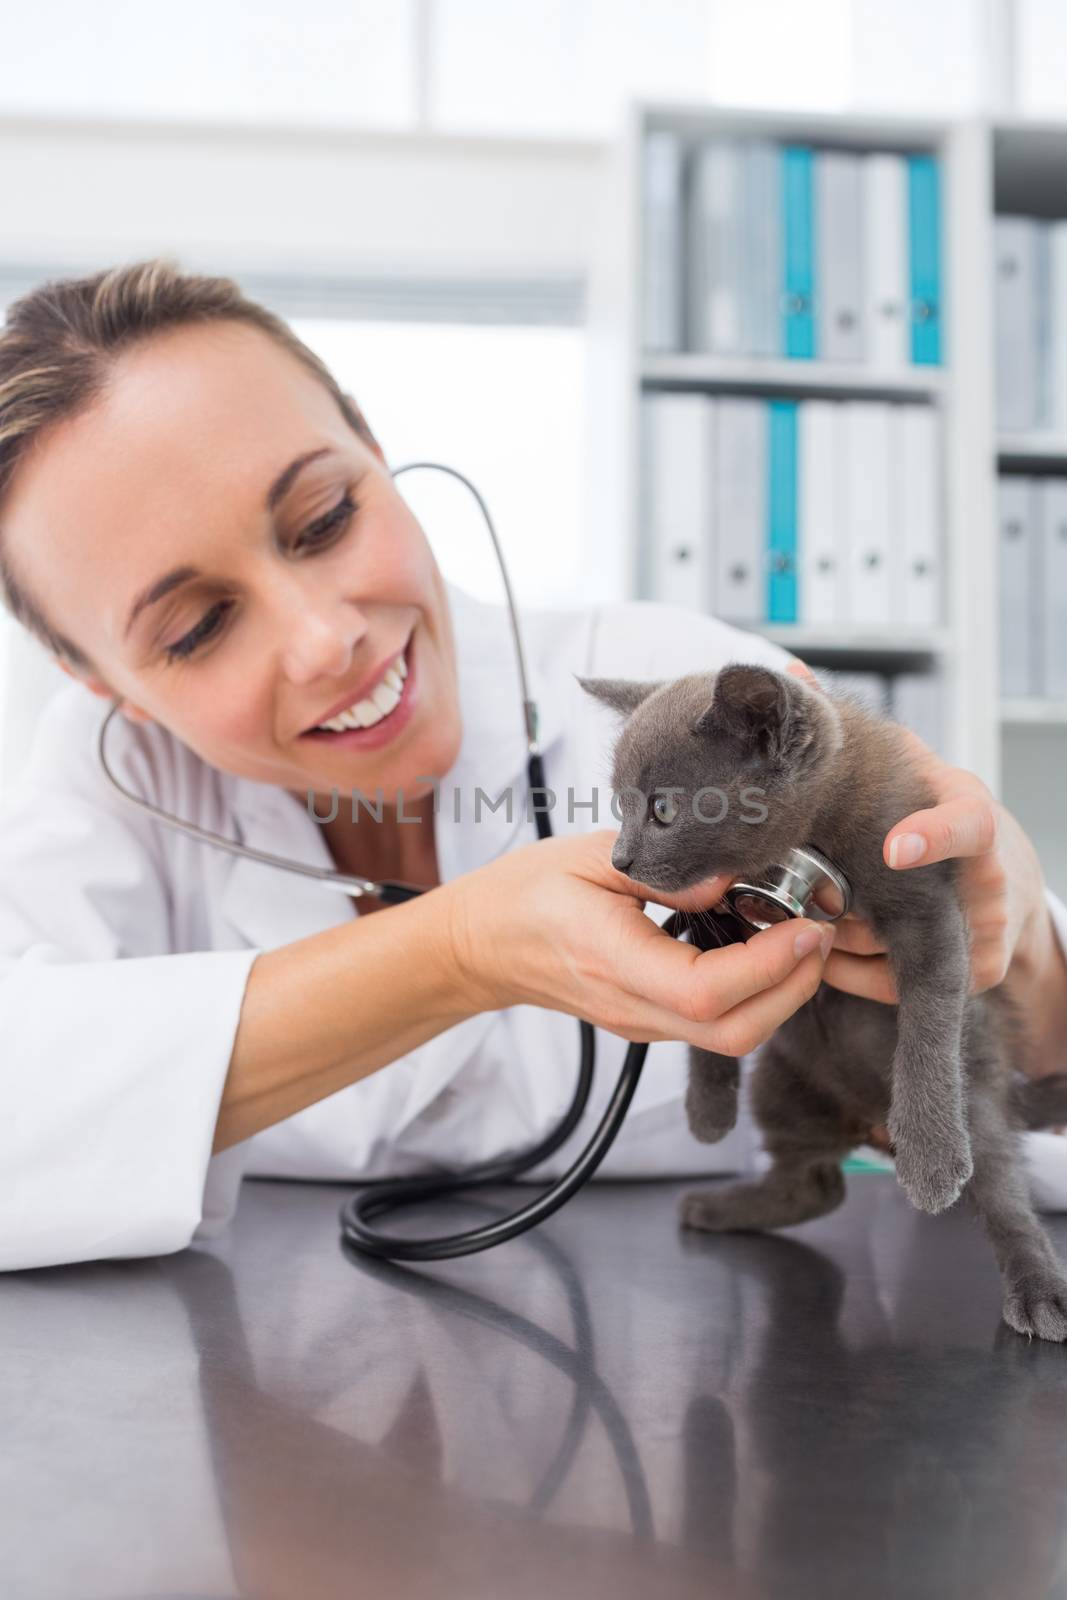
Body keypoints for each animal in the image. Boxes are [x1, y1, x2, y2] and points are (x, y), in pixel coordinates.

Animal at [579, 659, 1067, 1337]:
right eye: (619, 803)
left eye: (662, 810)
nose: (620, 859)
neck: (816, 831)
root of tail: (866, 1126)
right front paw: (708, 1105)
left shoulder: (924, 894)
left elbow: (930, 1013)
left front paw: (931, 1156)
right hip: (782, 1083)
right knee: (816, 1186)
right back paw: (719, 1206)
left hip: (980, 1091)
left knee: (1002, 1185)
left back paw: (1039, 1288)